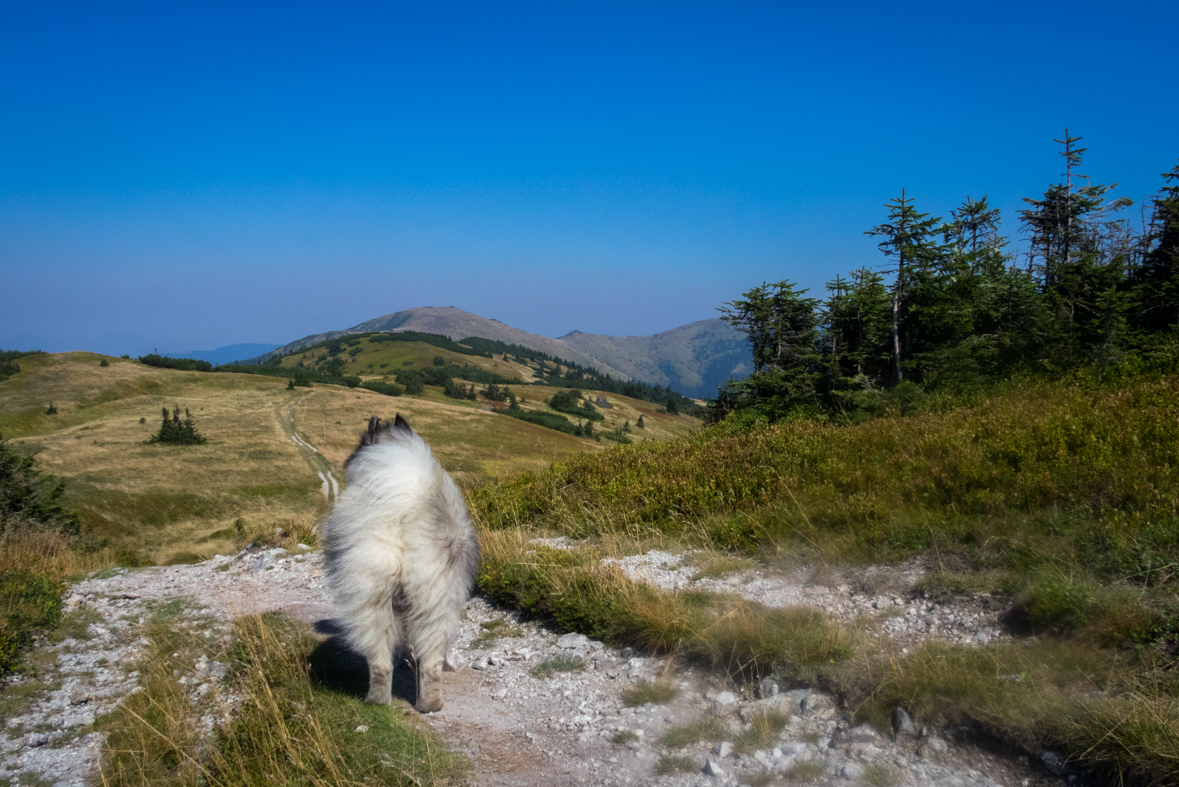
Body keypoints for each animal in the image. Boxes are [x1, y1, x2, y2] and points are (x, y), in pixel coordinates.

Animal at [323, 414, 478, 711]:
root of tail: (402, 517)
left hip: (375, 600)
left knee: (381, 661)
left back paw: (378, 700)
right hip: (434, 603)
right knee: (428, 660)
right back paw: (429, 704)